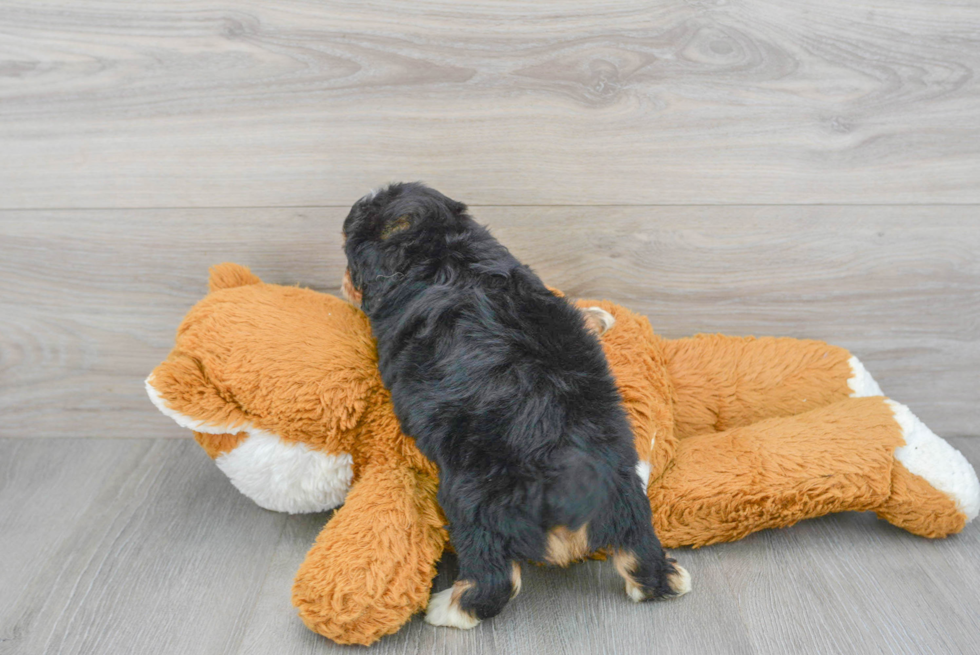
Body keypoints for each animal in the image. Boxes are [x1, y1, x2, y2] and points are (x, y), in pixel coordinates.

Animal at [342, 183, 688, 632]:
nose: (343, 284)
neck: (442, 251)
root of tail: (567, 484)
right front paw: (596, 317)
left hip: (472, 503)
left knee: (496, 577)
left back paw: (448, 608)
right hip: (626, 495)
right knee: (638, 550)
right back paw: (668, 579)